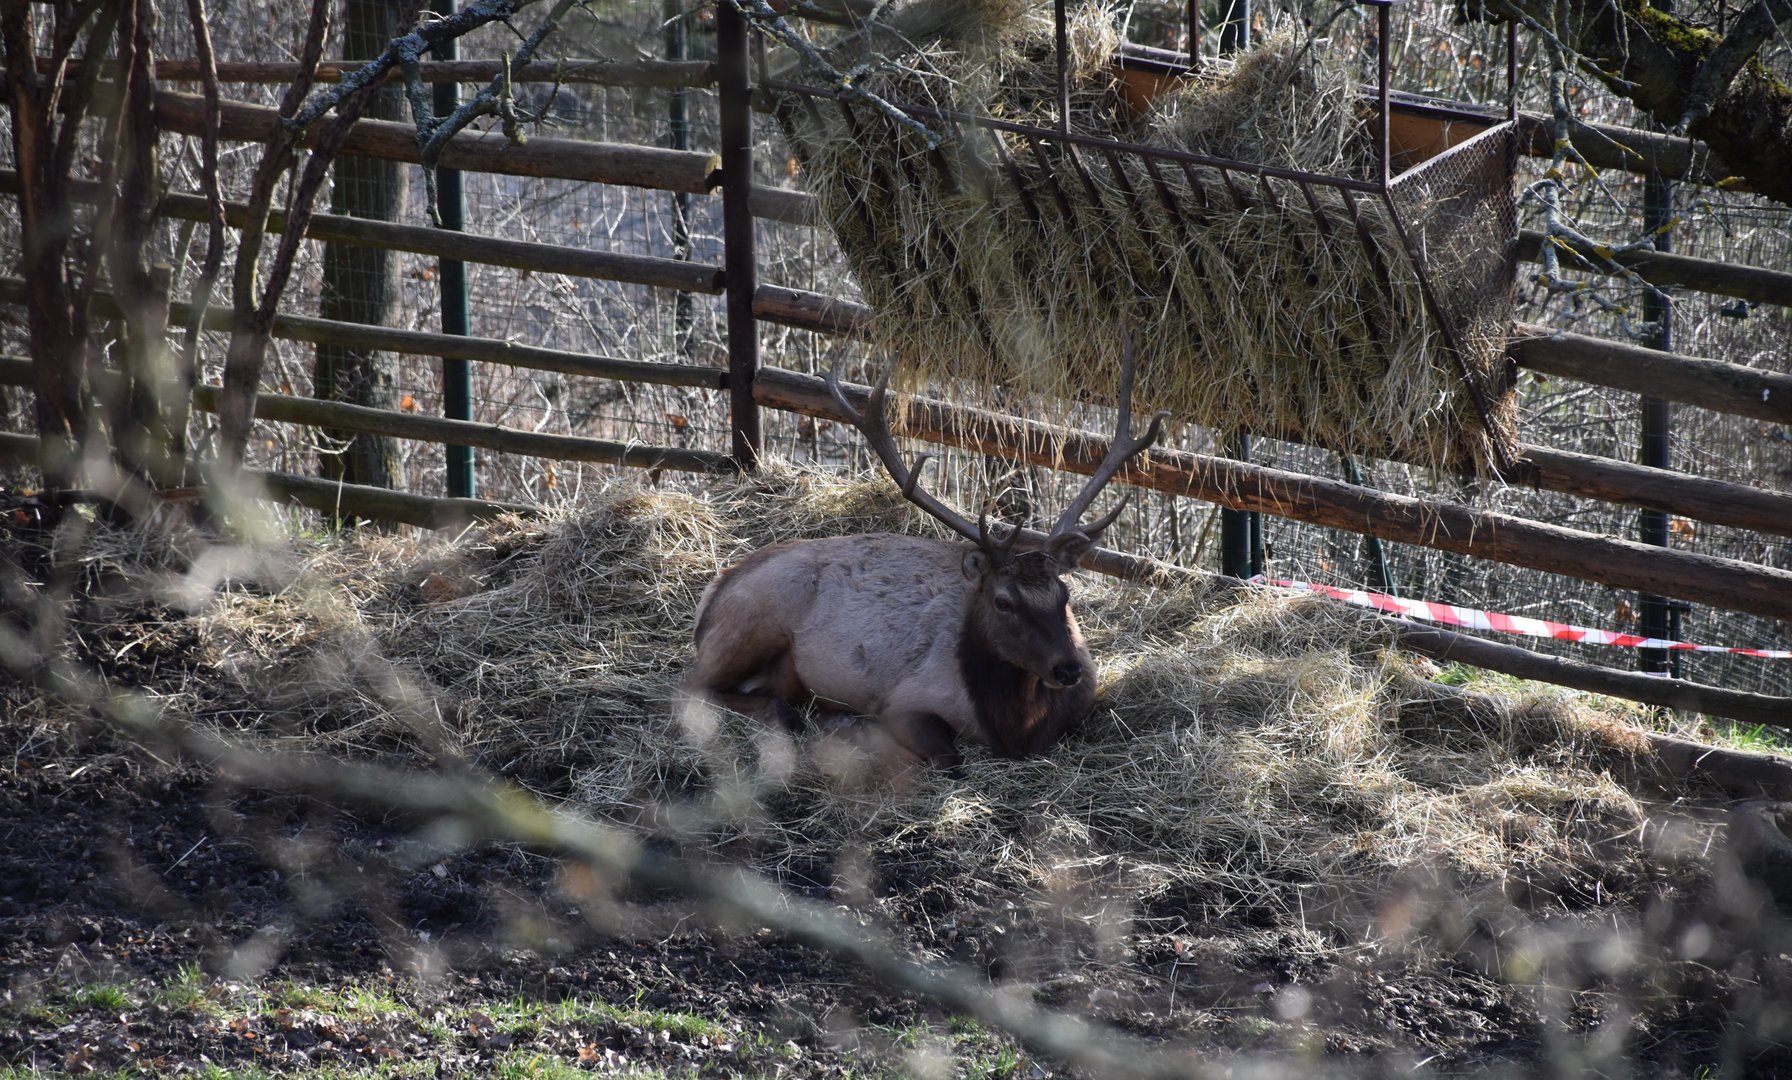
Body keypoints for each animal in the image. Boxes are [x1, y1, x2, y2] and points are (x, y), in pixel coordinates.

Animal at [684, 338, 1167, 769]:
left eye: (1064, 595)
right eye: (1003, 601)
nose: (1068, 669)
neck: (1014, 728)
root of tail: (715, 588)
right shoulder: (906, 699)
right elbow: (948, 760)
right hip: (752, 622)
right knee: (690, 687)